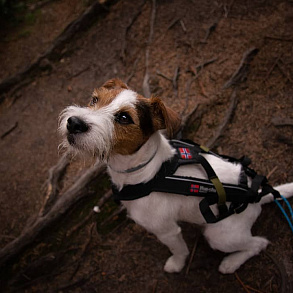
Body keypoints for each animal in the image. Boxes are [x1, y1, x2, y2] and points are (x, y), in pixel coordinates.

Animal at [58, 78, 292, 274]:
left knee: (259, 243)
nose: (74, 123)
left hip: (221, 236)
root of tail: (259, 193)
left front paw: (177, 264)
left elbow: (179, 250)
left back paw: (231, 262)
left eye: (124, 118)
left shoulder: (167, 231)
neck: (148, 171)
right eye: (94, 99)